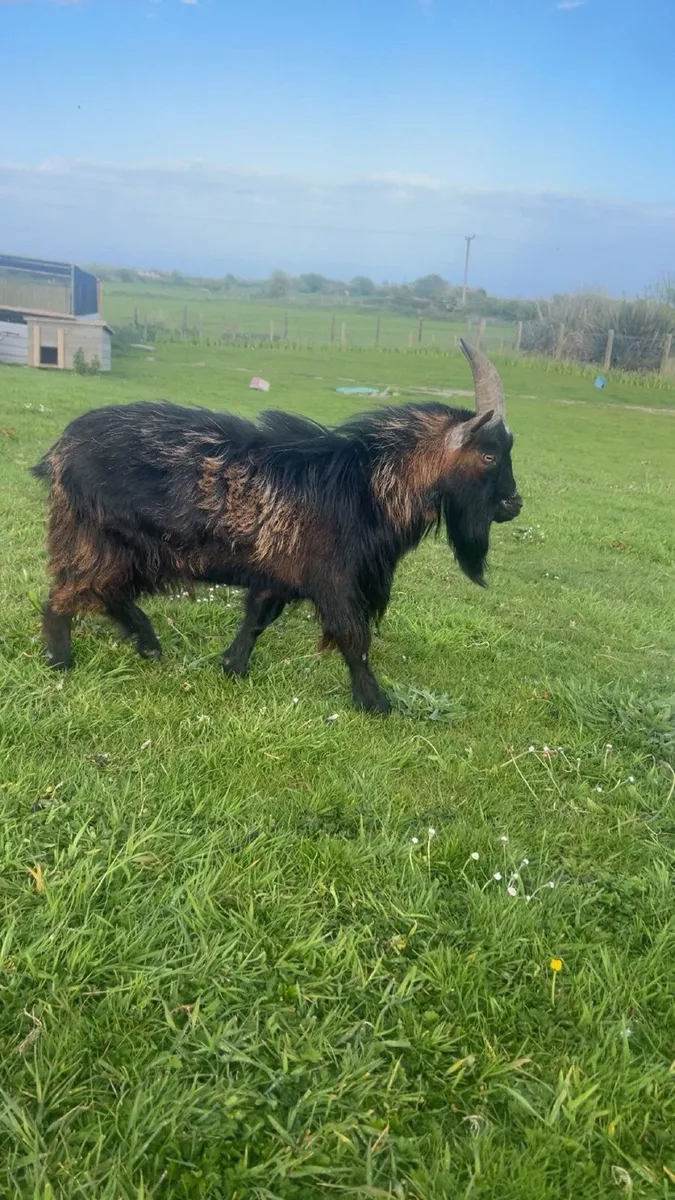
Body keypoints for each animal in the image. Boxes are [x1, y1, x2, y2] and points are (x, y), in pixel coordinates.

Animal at [31, 340, 522, 713]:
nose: (514, 504)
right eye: (490, 454)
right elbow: (353, 638)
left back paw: (148, 646)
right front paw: (376, 703)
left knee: (105, 594)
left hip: (125, 551)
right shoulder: (334, 579)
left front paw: (232, 667)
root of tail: (58, 452)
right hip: (100, 541)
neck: (367, 483)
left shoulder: (279, 573)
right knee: (65, 596)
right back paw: (61, 663)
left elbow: (256, 620)